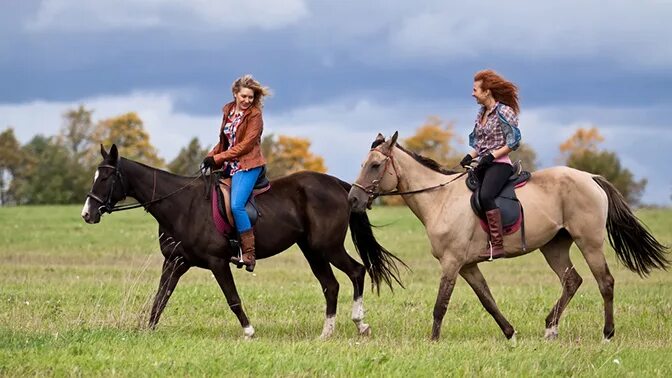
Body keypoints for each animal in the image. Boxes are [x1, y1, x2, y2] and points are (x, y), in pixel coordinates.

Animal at [80, 145, 402, 340]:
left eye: (106, 178)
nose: (87, 213)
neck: (181, 205)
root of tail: (339, 185)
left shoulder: (217, 262)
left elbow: (232, 298)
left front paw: (248, 331)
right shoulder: (175, 262)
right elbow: (161, 298)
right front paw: (147, 331)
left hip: (328, 247)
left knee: (356, 271)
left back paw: (360, 323)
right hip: (312, 250)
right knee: (330, 285)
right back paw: (326, 332)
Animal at [350, 133, 668, 342]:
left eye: (375, 165)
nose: (353, 199)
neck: (439, 198)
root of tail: (591, 177)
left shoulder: (452, 263)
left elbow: (441, 304)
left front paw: (433, 342)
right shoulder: (468, 266)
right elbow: (487, 300)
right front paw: (510, 333)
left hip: (589, 242)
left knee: (605, 282)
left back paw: (607, 334)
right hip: (554, 246)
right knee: (572, 281)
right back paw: (550, 328)